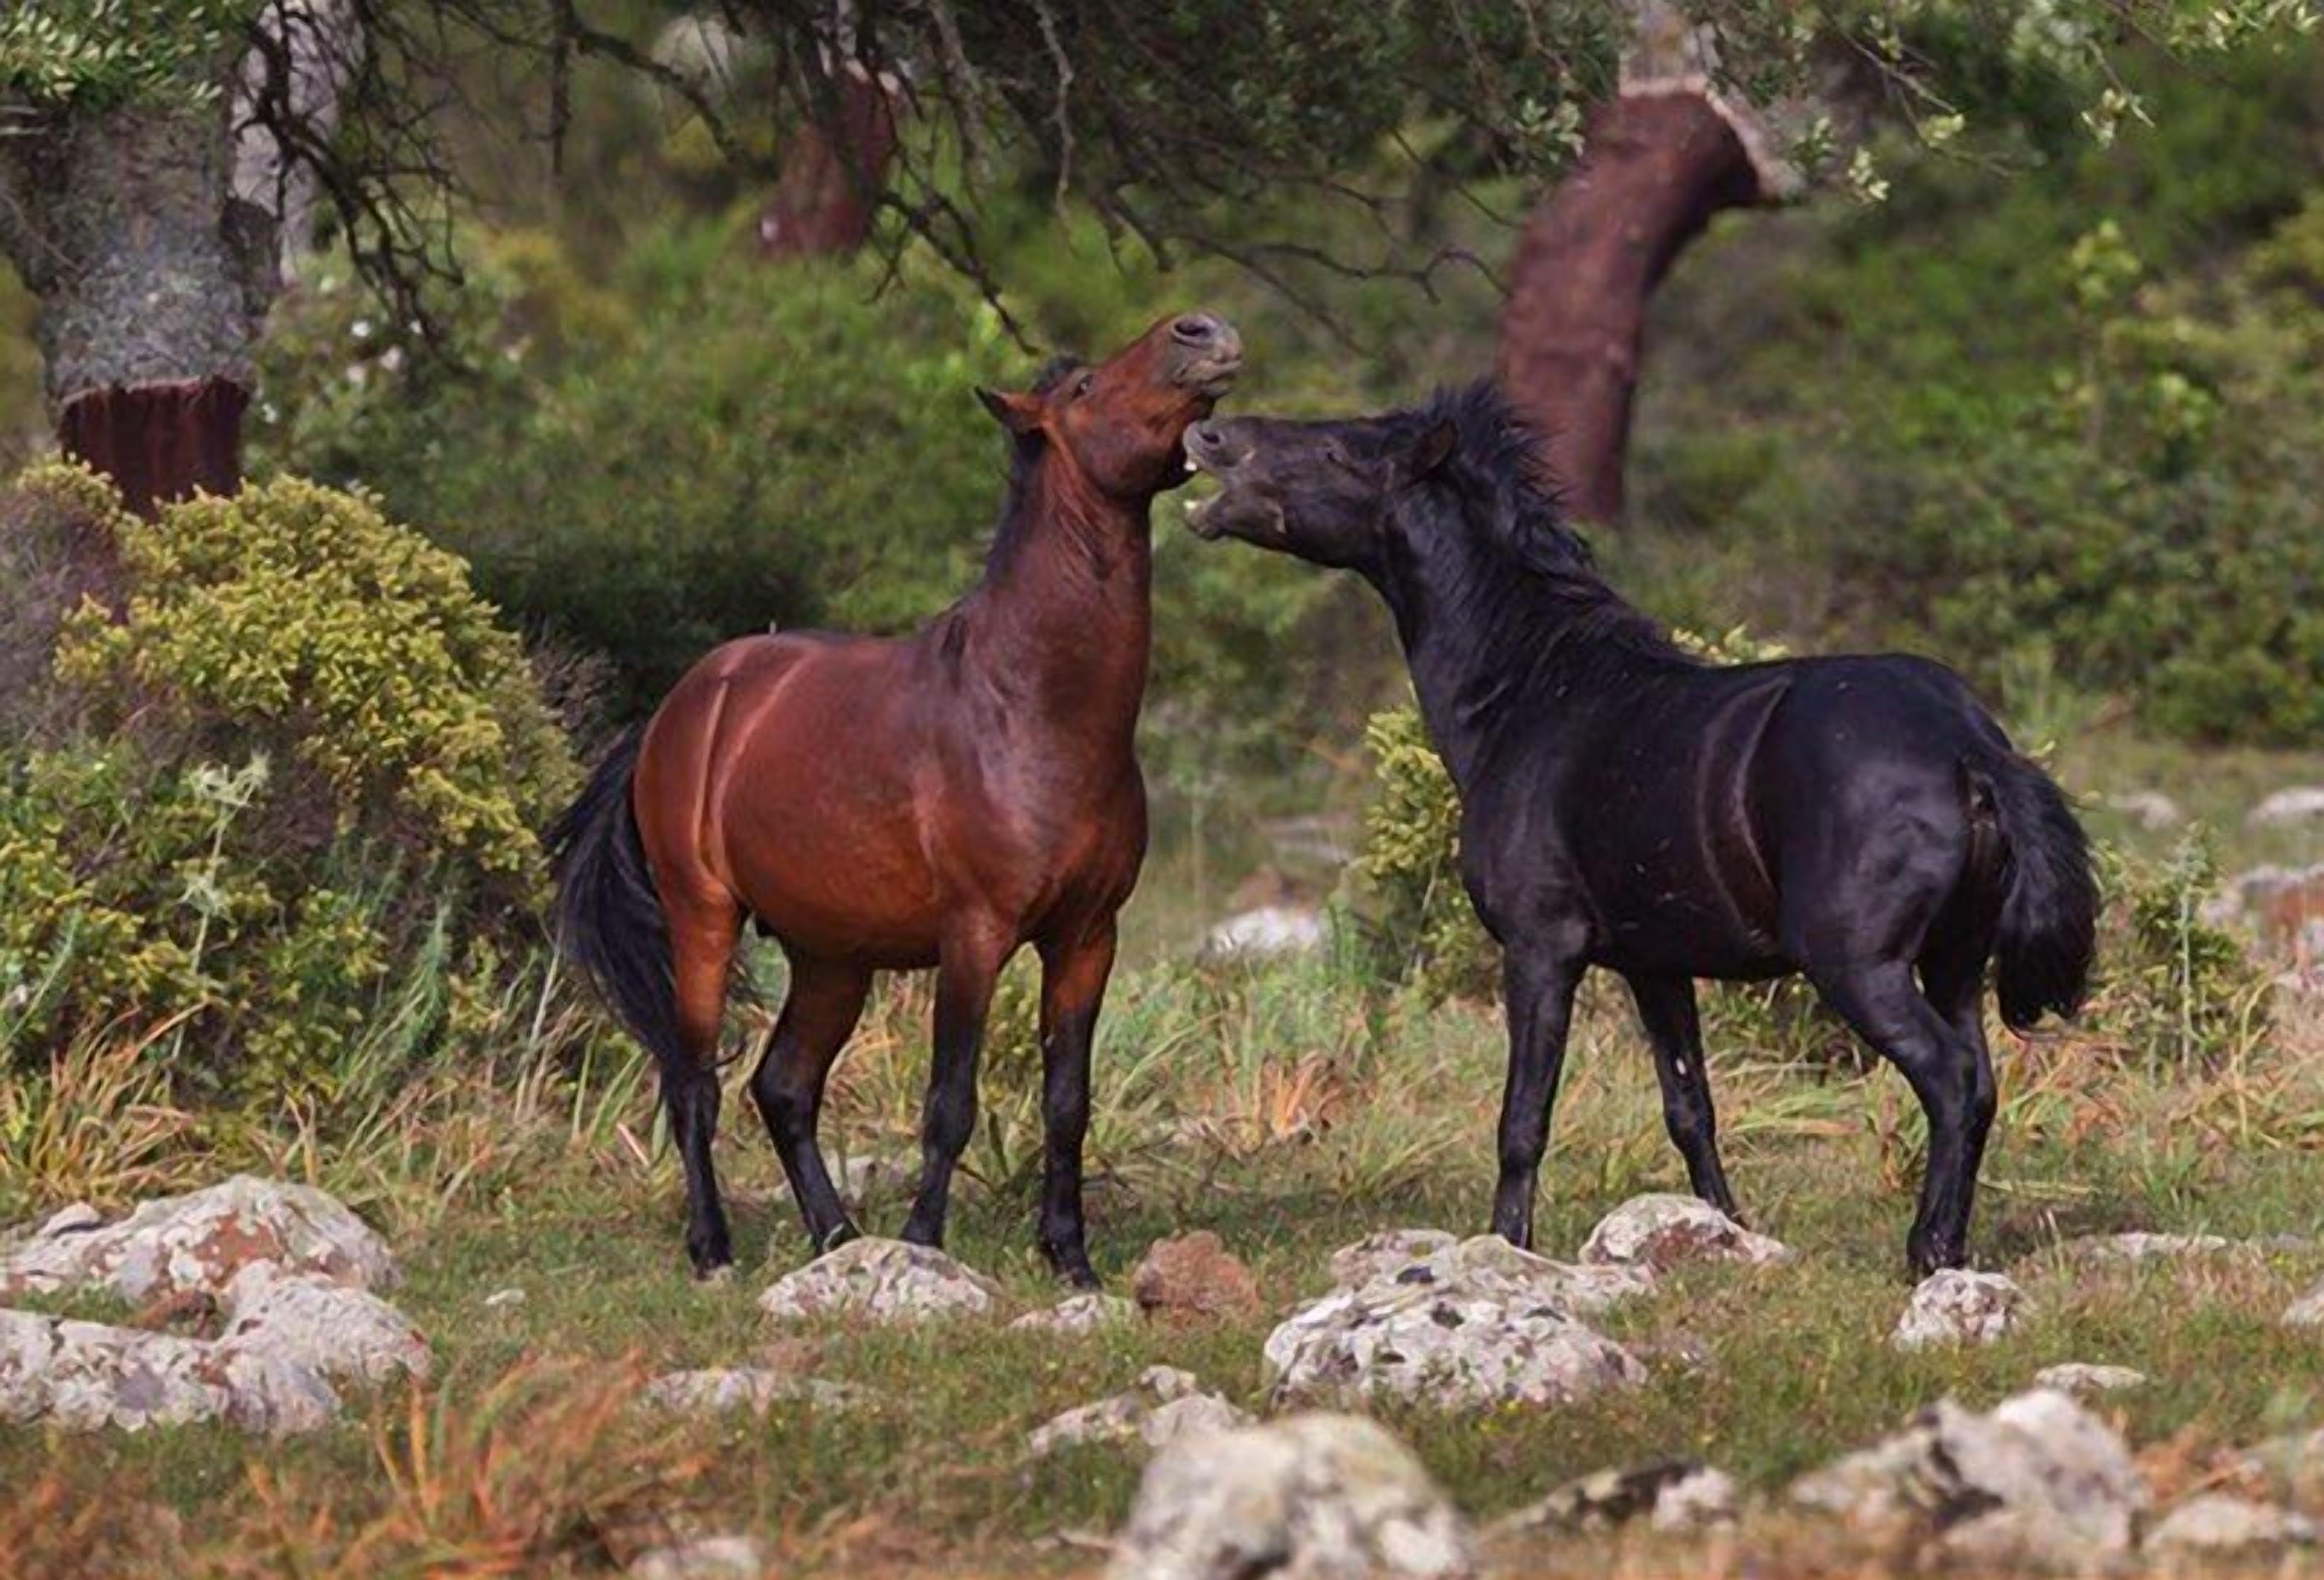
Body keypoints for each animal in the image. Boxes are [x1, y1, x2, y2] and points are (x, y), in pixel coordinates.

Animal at [550, 311, 1244, 1281]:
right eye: (1082, 387)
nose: (1204, 332)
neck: (1031, 708)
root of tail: (681, 708)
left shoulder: (1086, 938)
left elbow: (1068, 1101)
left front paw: (1069, 1258)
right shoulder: (974, 935)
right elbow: (948, 1101)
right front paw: (922, 1244)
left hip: (830, 956)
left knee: (783, 1086)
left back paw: (836, 1238)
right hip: (703, 921)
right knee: (694, 1084)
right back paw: (714, 1249)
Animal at [1182, 381, 2095, 1276]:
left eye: (1337, 450)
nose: (1209, 436)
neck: (1532, 690)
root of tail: (1968, 747)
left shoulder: (1540, 948)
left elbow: (1522, 1118)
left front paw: (1507, 1246)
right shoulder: (1657, 965)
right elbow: (1689, 1107)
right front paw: (1725, 1234)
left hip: (1858, 965)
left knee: (1947, 1079)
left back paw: (1926, 1251)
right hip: (1953, 962)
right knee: (1978, 1081)